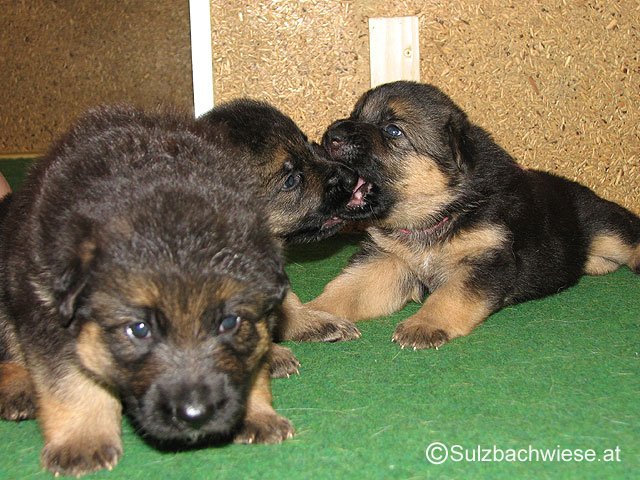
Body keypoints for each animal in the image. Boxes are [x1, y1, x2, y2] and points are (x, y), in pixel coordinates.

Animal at [0, 106, 293, 476]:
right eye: (139, 330)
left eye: (229, 323)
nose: (195, 415)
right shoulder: (46, 308)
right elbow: (71, 381)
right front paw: (83, 442)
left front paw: (257, 412)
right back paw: (18, 388)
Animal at [306, 81, 640, 349]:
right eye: (355, 115)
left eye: (392, 130)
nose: (332, 135)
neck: (438, 214)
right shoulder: (387, 260)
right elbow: (346, 289)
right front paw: (312, 315)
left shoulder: (485, 262)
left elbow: (450, 295)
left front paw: (423, 324)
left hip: (605, 228)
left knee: (629, 238)